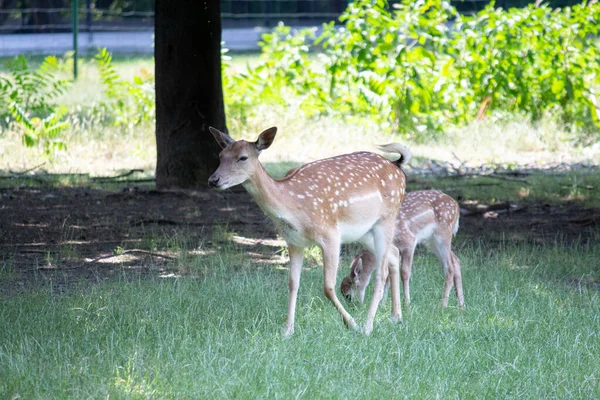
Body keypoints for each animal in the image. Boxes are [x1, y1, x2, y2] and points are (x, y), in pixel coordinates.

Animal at [209, 126, 410, 336]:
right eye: (221, 155)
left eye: (243, 157)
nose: (213, 180)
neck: (292, 207)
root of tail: (398, 168)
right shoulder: (294, 241)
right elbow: (292, 283)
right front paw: (287, 331)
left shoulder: (330, 234)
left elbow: (328, 287)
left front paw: (351, 323)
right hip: (364, 232)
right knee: (394, 253)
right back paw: (396, 317)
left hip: (387, 218)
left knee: (381, 273)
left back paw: (367, 326)